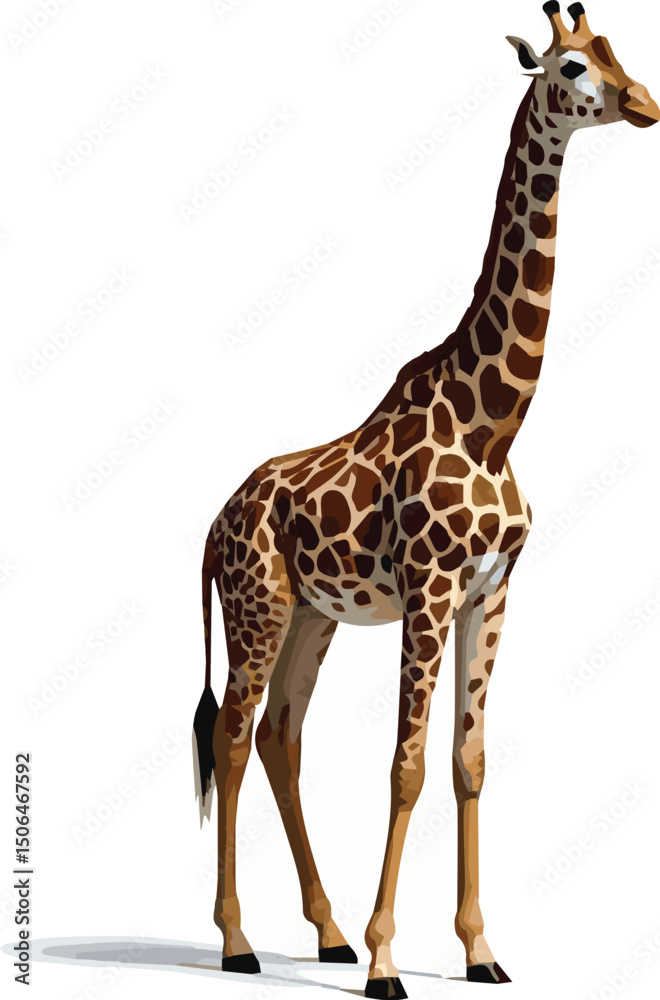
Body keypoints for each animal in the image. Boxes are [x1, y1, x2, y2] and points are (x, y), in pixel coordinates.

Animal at [192, 4, 658, 995]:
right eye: (571, 65)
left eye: (619, 52)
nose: (643, 104)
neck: (495, 424)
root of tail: (213, 523)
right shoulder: (432, 590)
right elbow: (404, 766)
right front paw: (385, 962)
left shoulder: (493, 590)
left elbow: (467, 761)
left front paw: (480, 952)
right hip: (258, 609)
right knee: (234, 739)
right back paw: (239, 941)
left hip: (312, 615)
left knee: (282, 737)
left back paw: (324, 930)